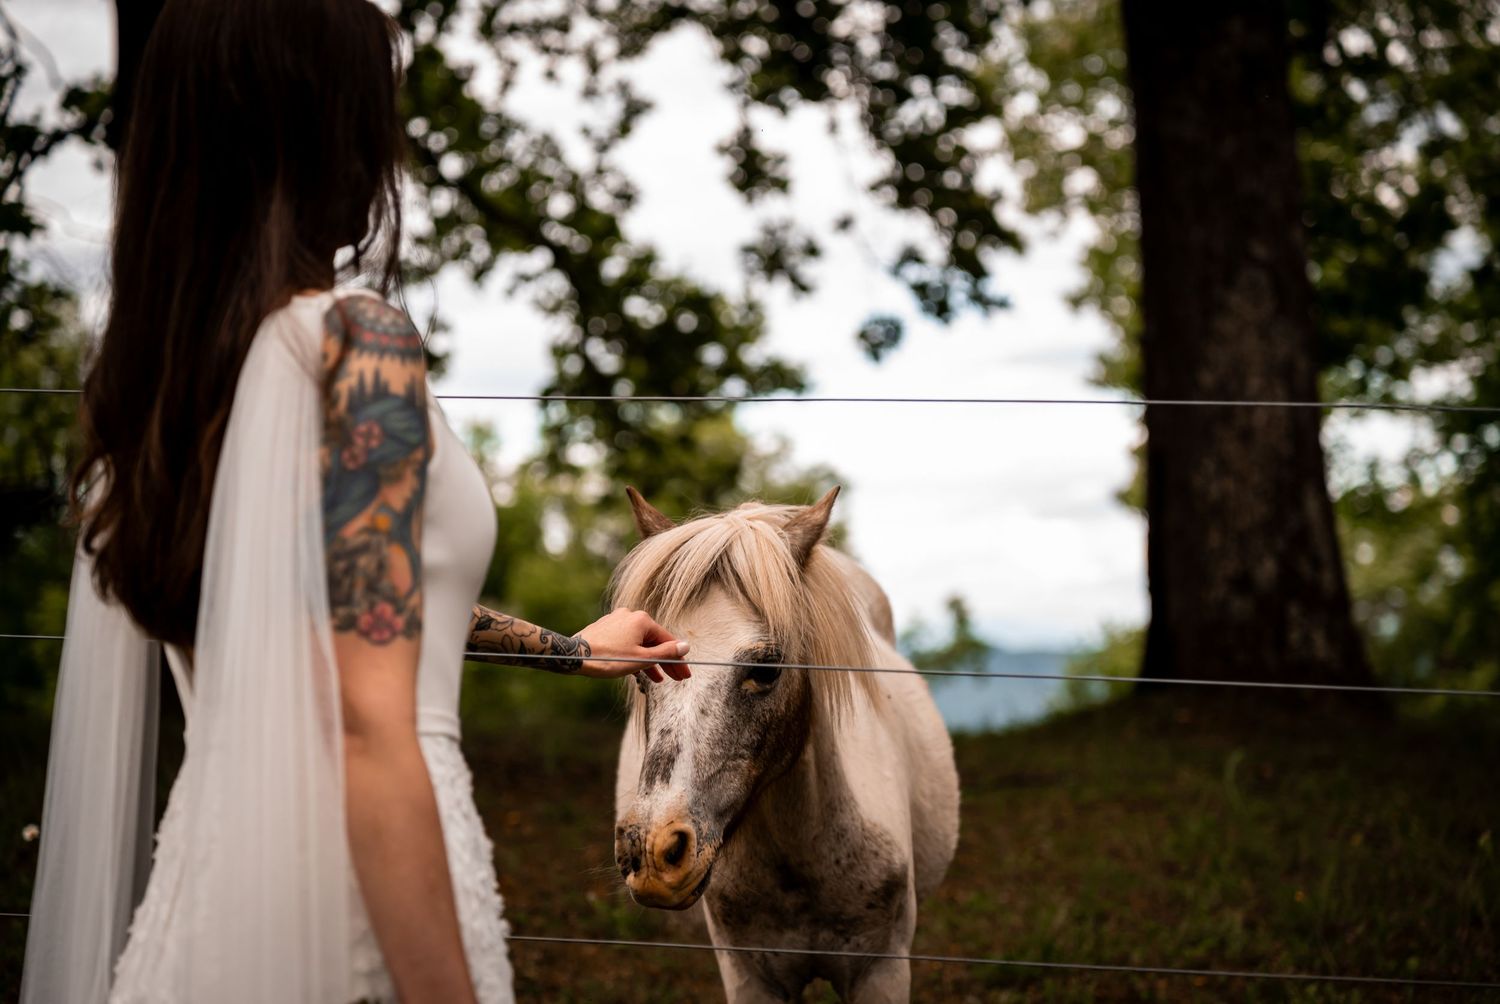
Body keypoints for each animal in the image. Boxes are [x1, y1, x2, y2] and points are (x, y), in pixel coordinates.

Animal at [611, 487, 960, 1003]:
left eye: (767, 668)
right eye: (642, 671)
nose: (653, 851)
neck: (800, 866)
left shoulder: (883, 972)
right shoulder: (751, 977)